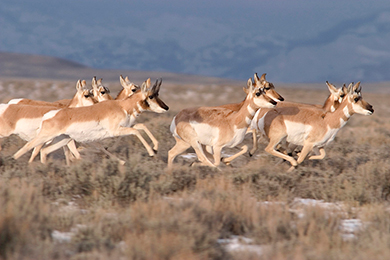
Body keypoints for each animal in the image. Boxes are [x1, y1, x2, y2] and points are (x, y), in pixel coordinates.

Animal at [13, 78, 169, 161]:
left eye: (158, 94)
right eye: (151, 96)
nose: (166, 108)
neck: (121, 105)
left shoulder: (122, 129)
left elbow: (141, 127)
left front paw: (155, 148)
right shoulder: (113, 133)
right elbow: (136, 132)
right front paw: (151, 152)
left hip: (61, 140)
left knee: (42, 151)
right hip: (47, 138)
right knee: (30, 148)